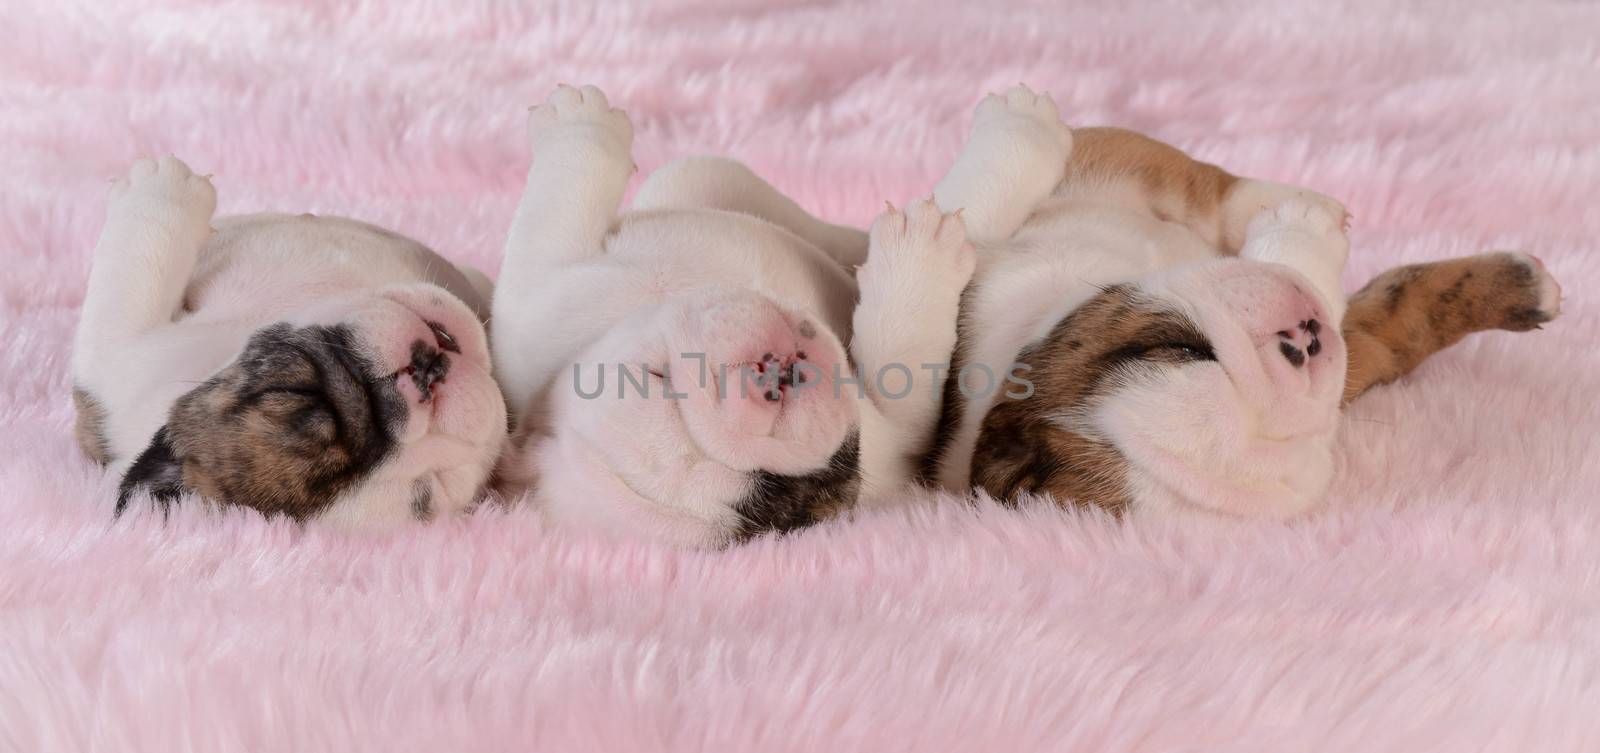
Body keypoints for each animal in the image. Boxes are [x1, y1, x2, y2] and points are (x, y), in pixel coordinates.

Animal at [489, 85, 972, 546]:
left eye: (657, 375)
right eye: (768, 492)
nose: (768, 378)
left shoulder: (538, 325)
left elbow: (705, 171)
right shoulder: (894, 441)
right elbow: (903, 356)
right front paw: (919, 252)